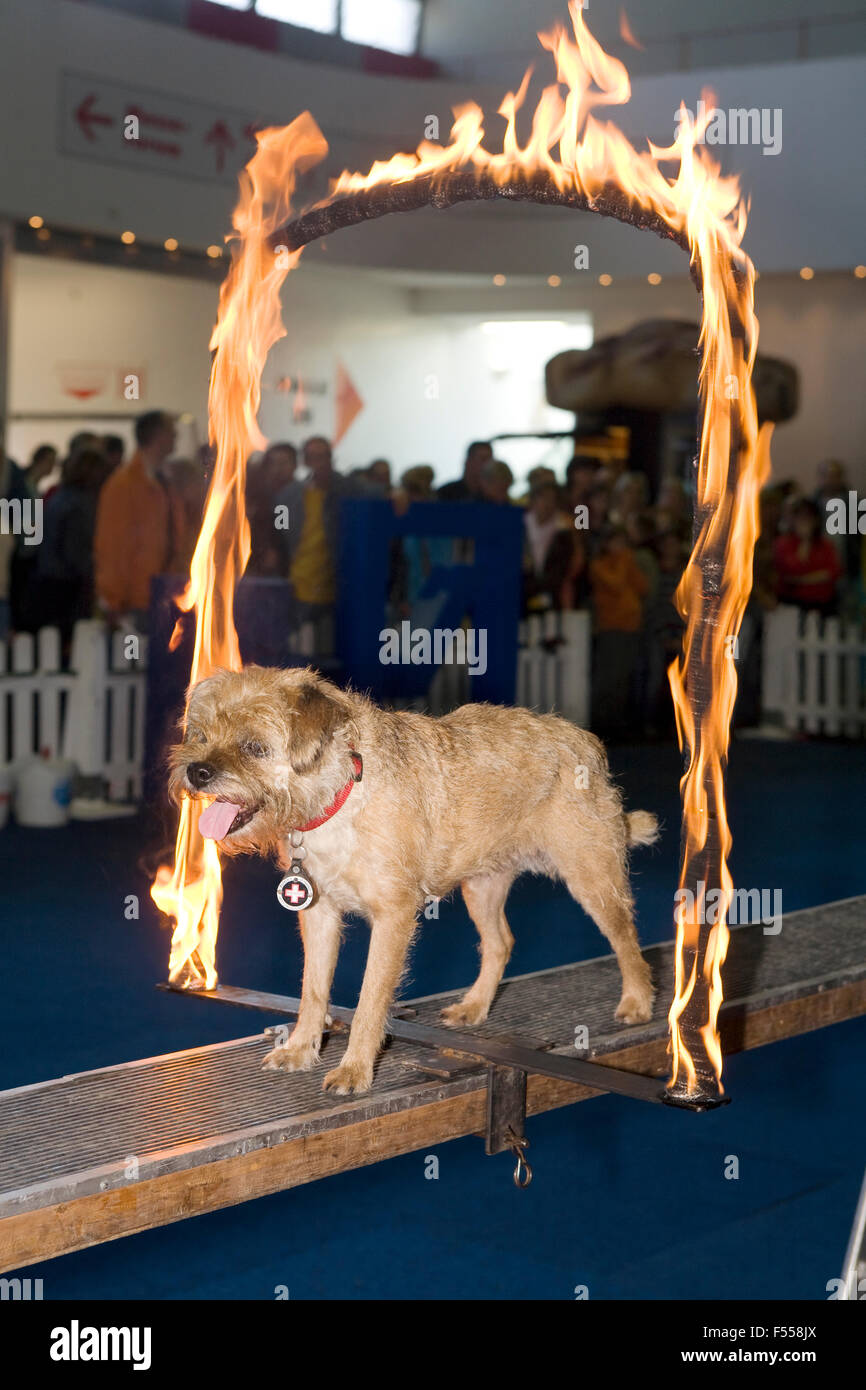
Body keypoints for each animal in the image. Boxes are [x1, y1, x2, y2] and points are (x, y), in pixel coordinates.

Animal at [169, 664, 656, 1095]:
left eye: (254, 747)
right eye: (201, 736)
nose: (197, 771)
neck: (340, 797)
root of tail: (582, 742)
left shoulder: (393, 918)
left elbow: (370, 999)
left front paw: (355, 1071)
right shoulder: (319, 914)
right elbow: (313, 989)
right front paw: (301, 1050)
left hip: (591, 878)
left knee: (627, 937)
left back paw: (637, 1002)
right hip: (481, 886)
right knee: (501, 942)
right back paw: (474, 1006)